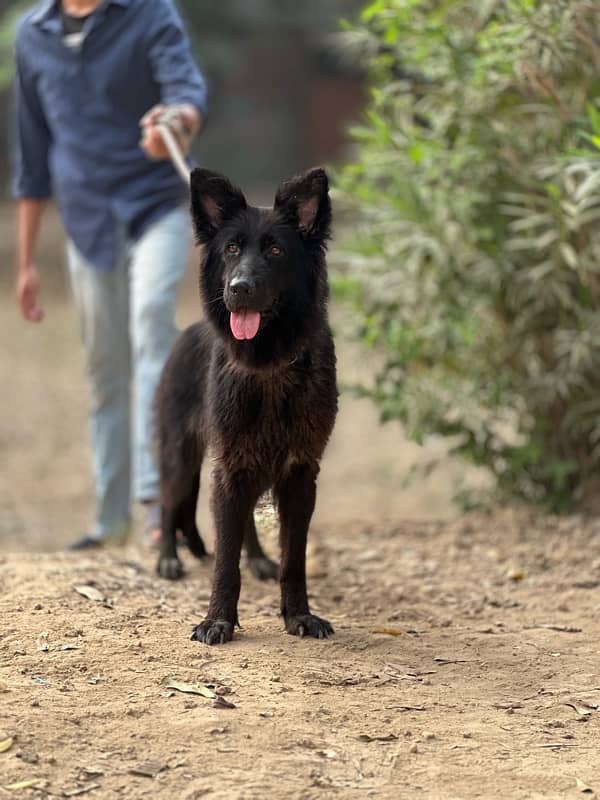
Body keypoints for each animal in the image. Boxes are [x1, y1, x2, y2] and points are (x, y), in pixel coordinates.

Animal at [155, 167, 338, 644]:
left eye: (275, 250)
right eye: (232, 249)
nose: (239, 289)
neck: (268, 369)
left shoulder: (298, 474)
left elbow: (294, 557)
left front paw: (299, 615)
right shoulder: (229, 470)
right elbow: (224, 560)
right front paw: (217, 619)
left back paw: (255, 558)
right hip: (181, 458)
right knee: (167, 502)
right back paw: (168, 558)